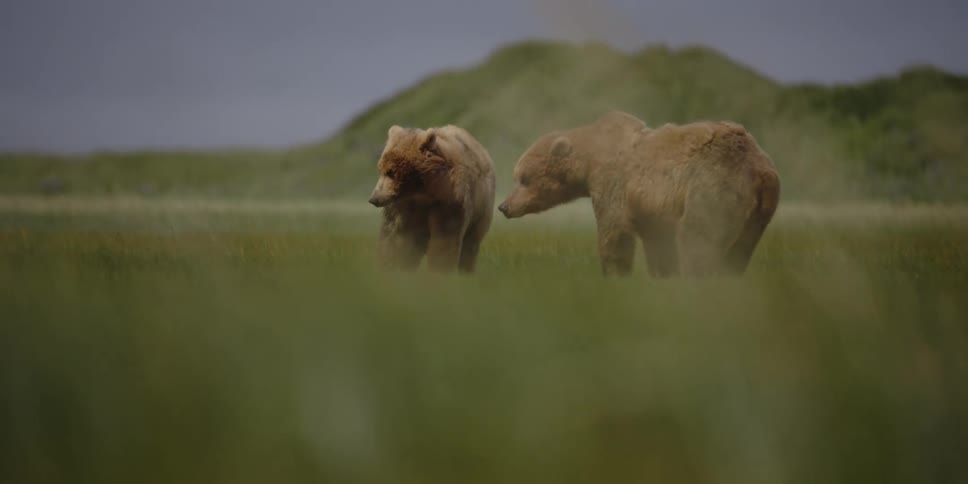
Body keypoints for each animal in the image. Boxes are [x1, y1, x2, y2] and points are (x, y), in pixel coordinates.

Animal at [368, 124, 496, 273]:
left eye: (391, 172)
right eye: (380, 170)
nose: (374, 199)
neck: (422, 192)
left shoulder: (449, 202)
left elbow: (444, 239)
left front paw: (439, 271)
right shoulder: (402, 208)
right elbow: (396, 239)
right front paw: (394, 267)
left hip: (481, 209)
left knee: (471, 244)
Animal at [498, 111, 780, 277]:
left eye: (523, 178)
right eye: (516, 177)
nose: (504, 206)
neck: (588, 163)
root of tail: (760, 170)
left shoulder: (614, 183)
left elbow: (614, 232)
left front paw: (613, 272)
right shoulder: (651, 208)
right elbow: (657, 245)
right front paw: (661, 276)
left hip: (713, 186)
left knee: (697, 240)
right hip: (757, 215)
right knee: (739, 251)